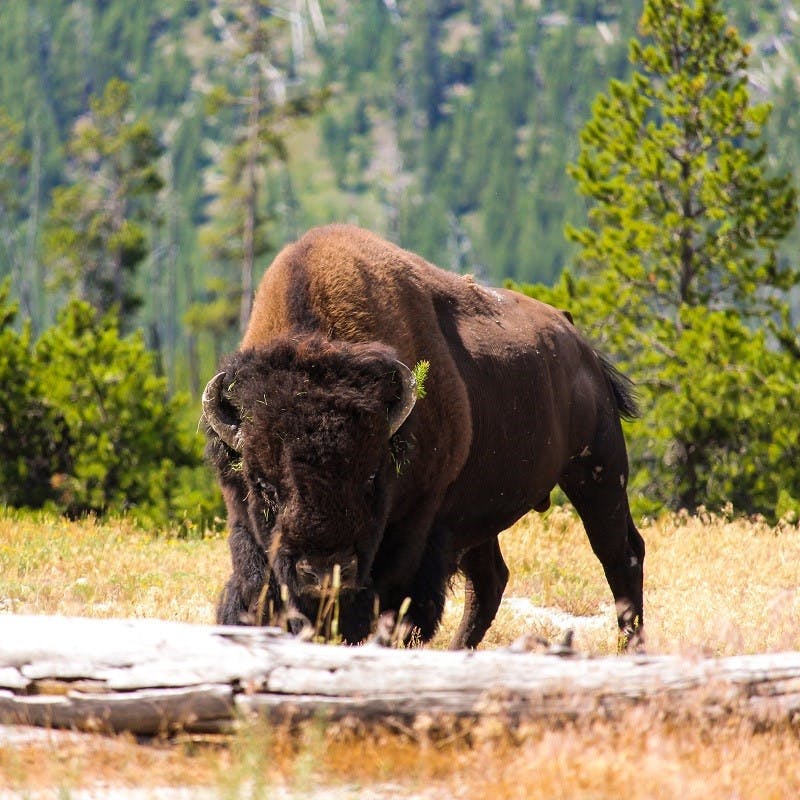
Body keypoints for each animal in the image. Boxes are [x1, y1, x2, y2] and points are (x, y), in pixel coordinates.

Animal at [203, 225, 648, 648]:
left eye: (371, 478)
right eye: (264, 485)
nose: (324, 572)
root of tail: (577, 339)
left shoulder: (419, 521)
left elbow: (398, 603)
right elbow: (255, 590)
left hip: (598, 471)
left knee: (621, 554)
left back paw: (629, 647)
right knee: (490, 580)